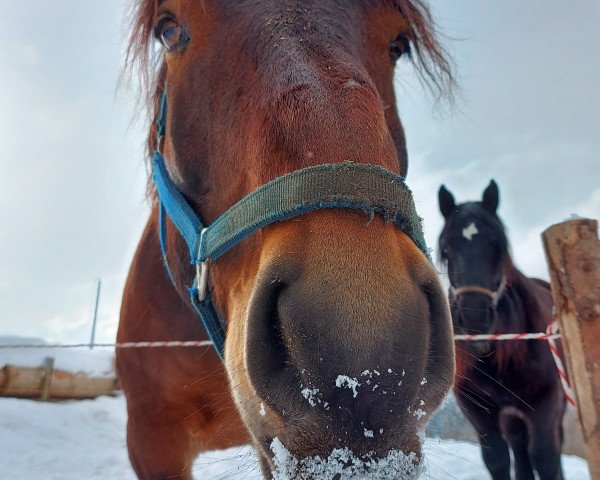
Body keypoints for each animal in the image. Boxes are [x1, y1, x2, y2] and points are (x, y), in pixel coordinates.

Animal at [438, 181, 564, 480]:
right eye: (446, 250)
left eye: (496, 244)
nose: (475, 317)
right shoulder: (477, 407)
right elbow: (496, 459)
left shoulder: (546, 401)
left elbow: (545, 457)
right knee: (519, 449)